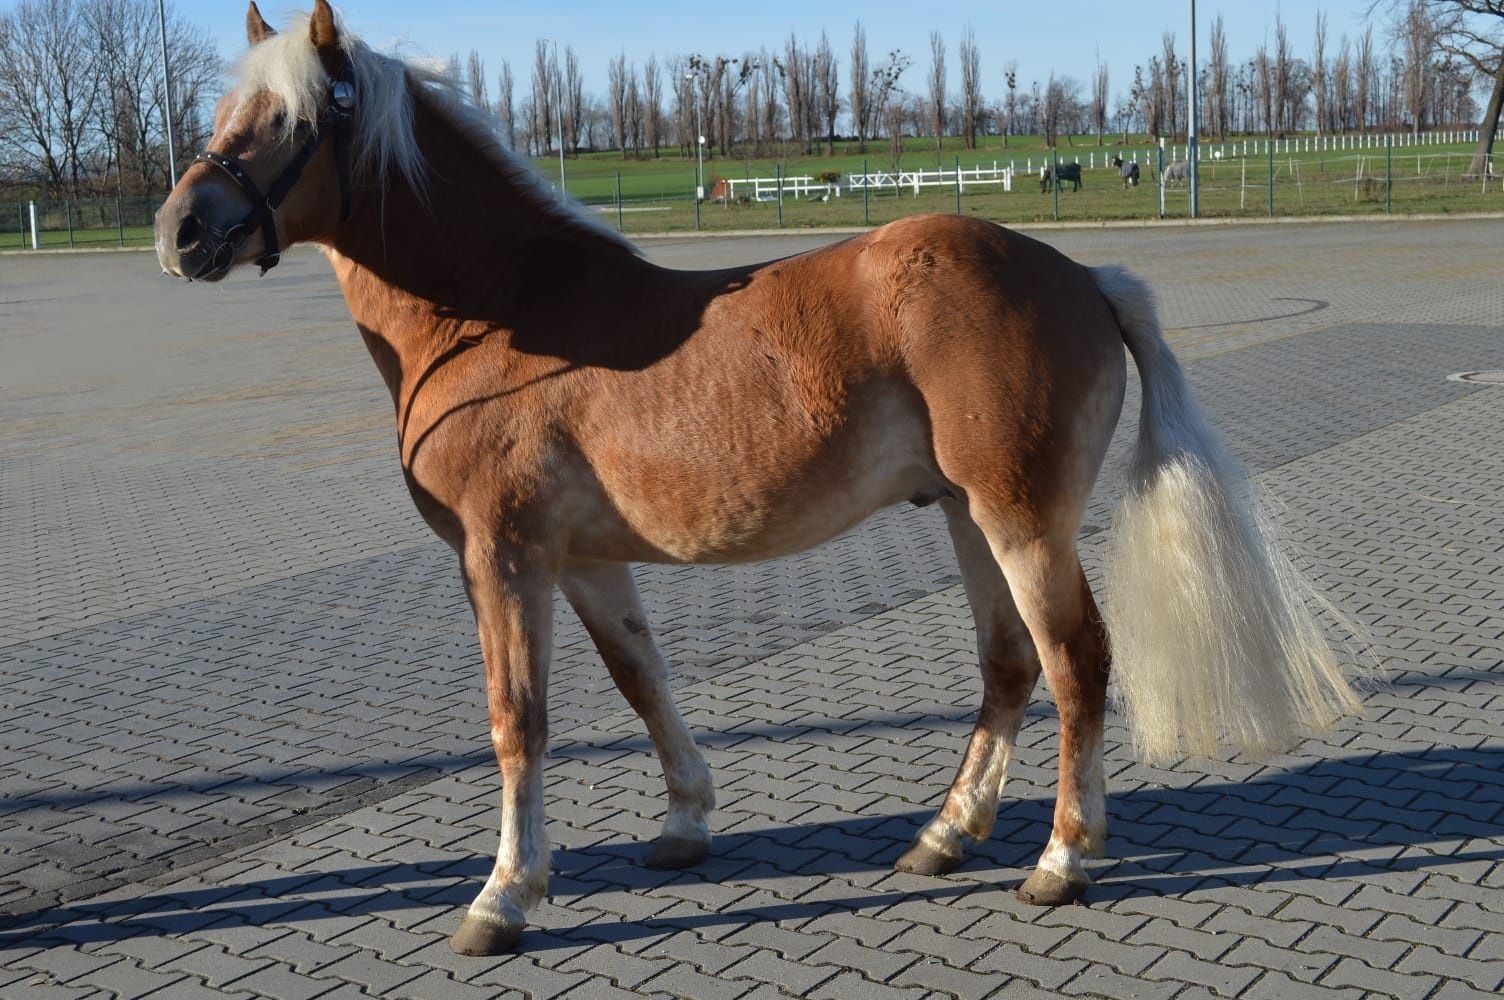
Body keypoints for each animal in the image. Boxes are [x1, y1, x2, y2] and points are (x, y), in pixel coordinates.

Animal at [152, 1, 1365, 962]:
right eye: (224, 115)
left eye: (293, 120)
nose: (181, 230)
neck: (503, 319)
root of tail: (1078, 273)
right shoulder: (585, 563)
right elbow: (642, 682)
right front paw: (685, 824)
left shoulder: (503, 556)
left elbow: (518, 718)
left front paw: (503, 895)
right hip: (969, 519)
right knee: (1009, 666)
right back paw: (942, 835)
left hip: (1023, 524)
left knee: (1074, 664)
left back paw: (1062, 858)